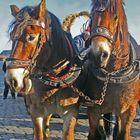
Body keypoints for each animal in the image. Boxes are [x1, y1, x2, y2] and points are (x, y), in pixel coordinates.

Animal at [5, 0, 89, 139]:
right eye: (12, 36)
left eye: (31, 37)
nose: (12, 79)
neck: (55, 80)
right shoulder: (36, 111)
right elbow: (39, 132)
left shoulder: (70, 112)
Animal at [83, 0, 139, 139]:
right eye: (91, 17)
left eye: (115, 17)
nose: (97, 55)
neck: (112, 74)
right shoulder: (94, 108)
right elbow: (94, 133)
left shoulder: (130, 110)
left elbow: (124, 134)